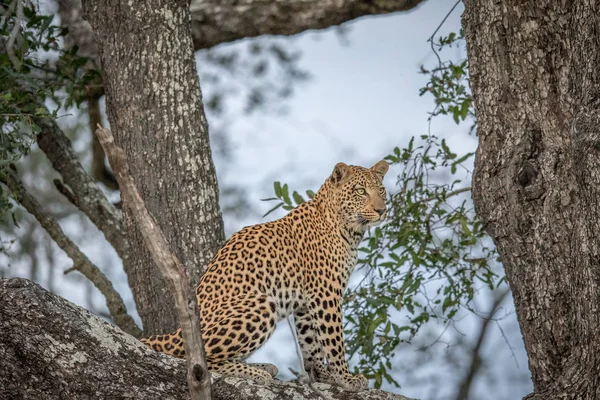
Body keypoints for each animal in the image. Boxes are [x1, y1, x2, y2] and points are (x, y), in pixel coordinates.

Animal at [143, 159, 392, 390]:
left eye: (381, 191)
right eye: (360, 191)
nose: (381, 210)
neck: (350, 230)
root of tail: (172, 334)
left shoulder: (306, 302)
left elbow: (310, 342)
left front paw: (322, 374)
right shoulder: (325, 293)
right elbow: (333, 339)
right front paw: (345, 378)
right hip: (260, 304)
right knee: (198, 362)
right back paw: (254, 372)